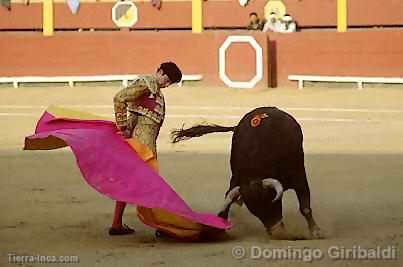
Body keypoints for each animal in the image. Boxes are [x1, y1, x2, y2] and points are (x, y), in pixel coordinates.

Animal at [172, 107, 324, 241]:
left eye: (273, 204)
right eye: (255, 211)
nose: (277, 233)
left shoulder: (299, 176)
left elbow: (305, 207)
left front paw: (316, 232)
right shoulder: (236, 180)